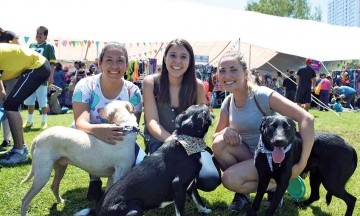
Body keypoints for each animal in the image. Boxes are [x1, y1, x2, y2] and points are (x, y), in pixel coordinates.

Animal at [74, 104, 212, 215]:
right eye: (204, 111)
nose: (206, 104)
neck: (186, 141)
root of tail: (98, 211)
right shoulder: (178, 185)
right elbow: (180, 211)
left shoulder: (191, 184)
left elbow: (198, 199)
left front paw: (204, 210)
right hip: (135, 209)